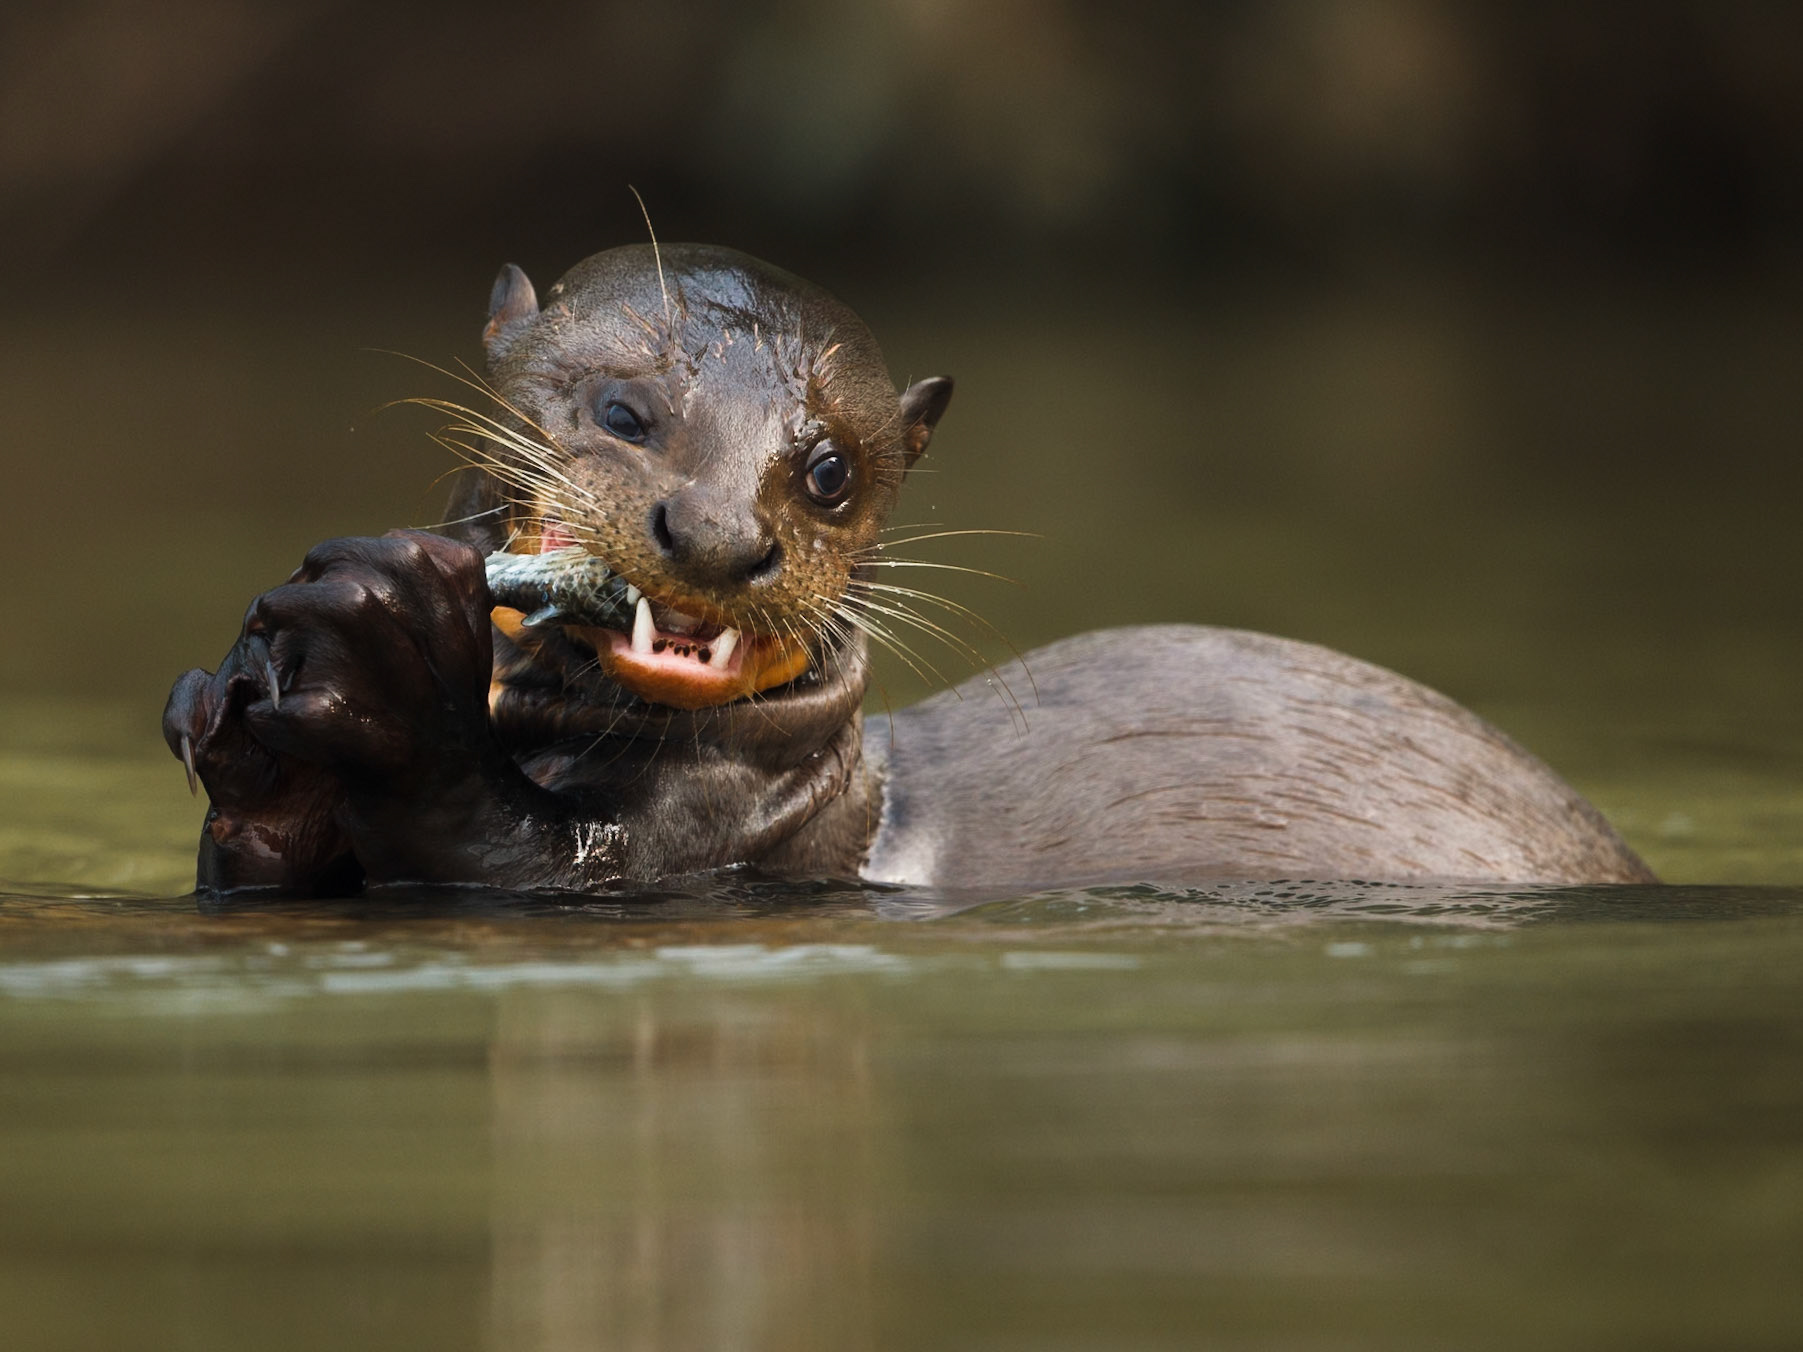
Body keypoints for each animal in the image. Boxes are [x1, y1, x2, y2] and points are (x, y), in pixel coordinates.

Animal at [162, 244, 1654, 895]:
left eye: (827, 470)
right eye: (624, 410)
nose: (721, 534)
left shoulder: (718, 846)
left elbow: (518, 853)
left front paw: (390, 666)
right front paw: (246, 732)